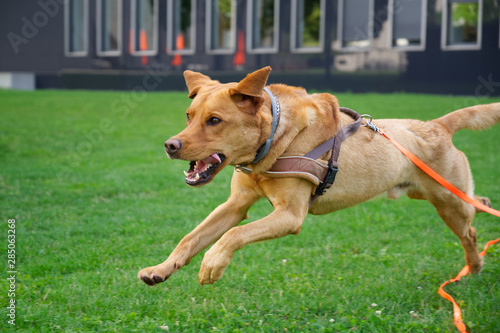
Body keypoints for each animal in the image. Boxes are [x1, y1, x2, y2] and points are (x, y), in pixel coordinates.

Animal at [139, 67, 500, 286]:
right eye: (189, 116)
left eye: (214, 120)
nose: (170, 145)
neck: (273, 140)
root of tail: (438, 125)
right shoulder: (236, 204)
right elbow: (192, 237)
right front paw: (160, 270)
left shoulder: (289, 214)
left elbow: (234, 234)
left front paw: (212, 263)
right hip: (431, 194)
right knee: (476, 205)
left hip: (449, 201)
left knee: (470, 229)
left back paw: (474, 267)